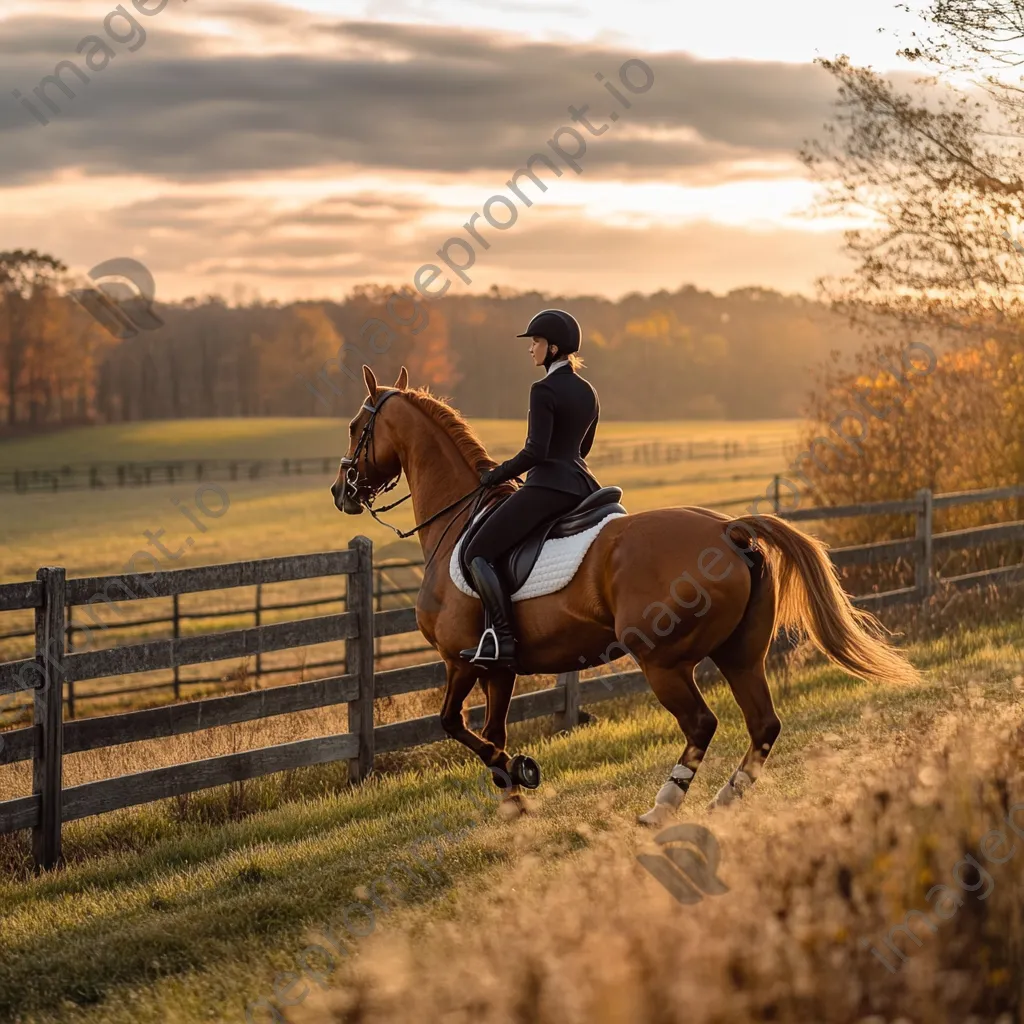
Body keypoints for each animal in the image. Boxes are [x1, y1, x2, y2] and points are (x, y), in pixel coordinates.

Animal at [333, 366, 921, 823]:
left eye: (357, 426)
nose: (342, 492)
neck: (458, 521)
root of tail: (727, 530)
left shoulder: (460, 659)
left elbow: (452, 723)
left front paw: (520, 774)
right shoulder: (497, 664)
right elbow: (493, 730)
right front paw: (514, 794)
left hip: (662, 661)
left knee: (703, 724)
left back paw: (663, 807)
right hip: (740, 654)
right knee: (763, 724)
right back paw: (724, 801)